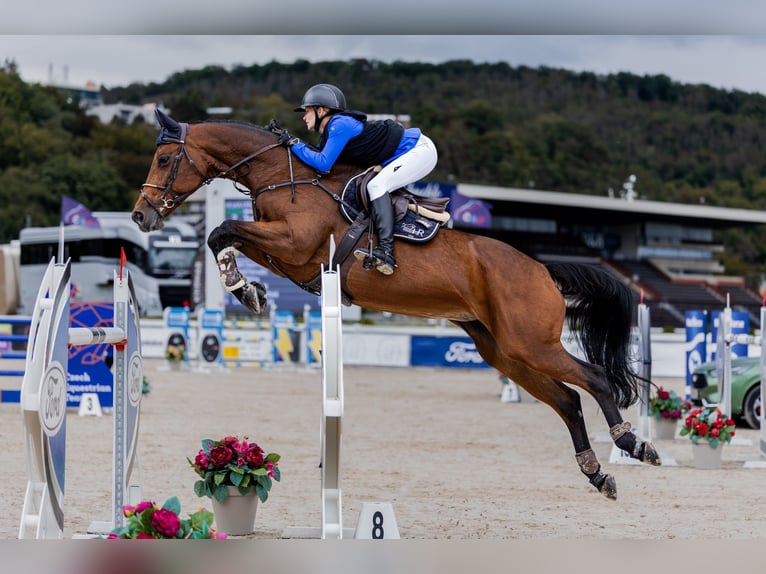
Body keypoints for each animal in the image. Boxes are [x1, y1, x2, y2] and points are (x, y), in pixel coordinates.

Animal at [131, 110, 660, 500]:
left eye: (164, 158)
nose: (141, 216)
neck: (280, 177)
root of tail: (542, 269)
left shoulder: (295, 244)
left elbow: (223, 229)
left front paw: (243, 288)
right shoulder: (286, 255)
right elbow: (226, 236)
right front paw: (248, 289)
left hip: (531, 343)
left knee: (594, 379)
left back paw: (632, 443)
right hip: (504, 350)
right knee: (567, 400)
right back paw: (597, 473)